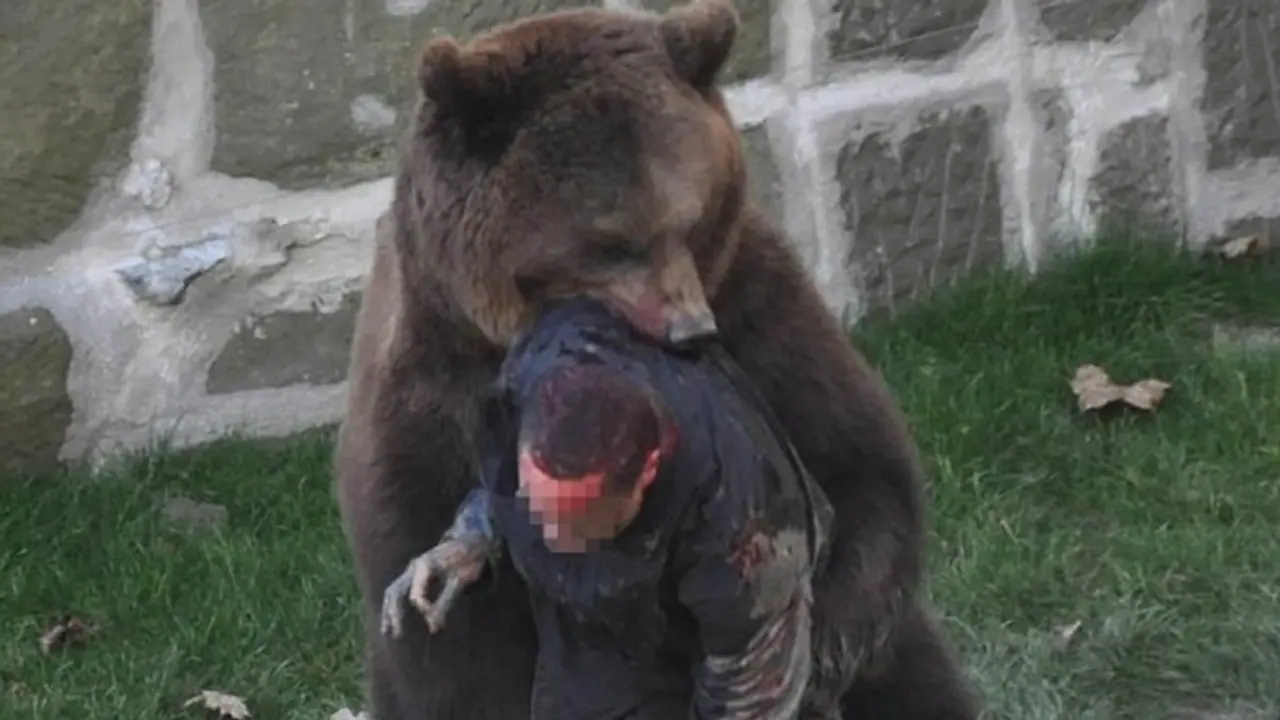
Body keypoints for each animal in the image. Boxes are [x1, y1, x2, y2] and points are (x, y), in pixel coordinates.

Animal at [333, 1, 978, 718]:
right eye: (612, 241)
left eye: (690, 220)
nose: (690, 330)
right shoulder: (427, 403)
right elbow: (454, 642)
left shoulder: (758, 309)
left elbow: (860, 462)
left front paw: (820, 642)